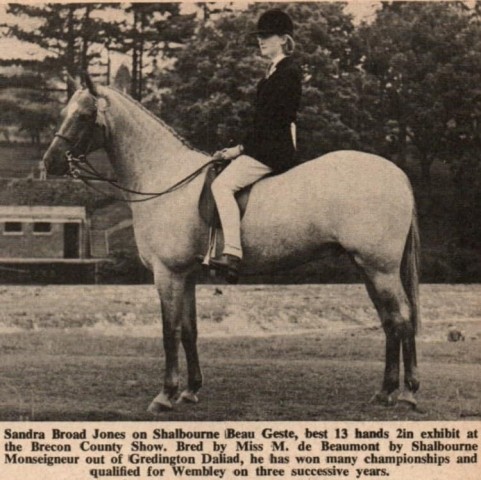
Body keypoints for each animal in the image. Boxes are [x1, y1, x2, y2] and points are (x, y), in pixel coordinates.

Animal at [44, 74, 420, 412]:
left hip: (380, 268)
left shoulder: (168, 274)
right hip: (367, 267)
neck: (166, 178)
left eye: (83, 115)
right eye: (62, 112)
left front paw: (165, 395)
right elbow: (189, 331)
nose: (49, 162)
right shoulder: (187, 274)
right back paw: (385, 392)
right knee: (390, 321)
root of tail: (398, 174)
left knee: (402, 318)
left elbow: (169, 331)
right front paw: (191, 390)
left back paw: (407, 393)